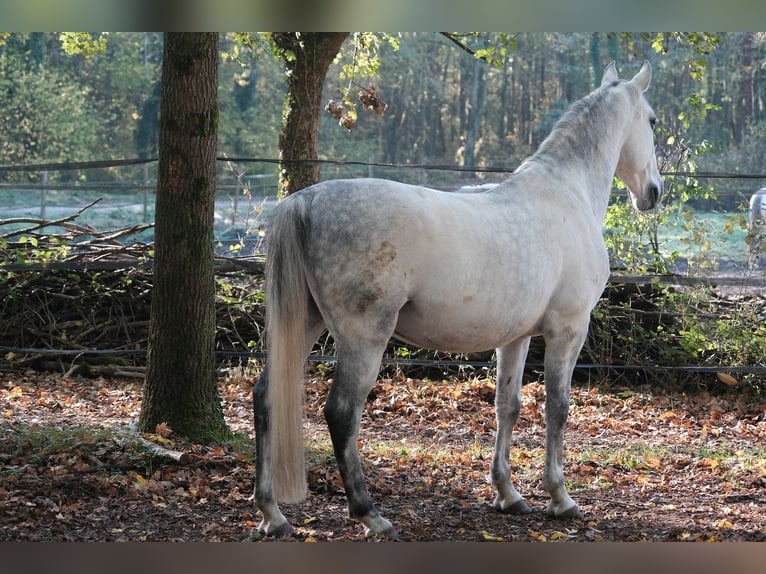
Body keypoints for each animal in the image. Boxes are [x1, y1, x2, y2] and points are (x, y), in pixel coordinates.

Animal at [255, 60, 664, 544]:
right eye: (652, 121)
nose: (653, 193)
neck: (567, 193)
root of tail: (303, 201)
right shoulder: (568, 329)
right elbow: (557, 408)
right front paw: (560, 499)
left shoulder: (517, 338)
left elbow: (508, 406)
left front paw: (508, 494)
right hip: (362, 338)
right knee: (341, 413)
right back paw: (370, 515)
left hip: (304, 325)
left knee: (265, 396)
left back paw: (272, 514)